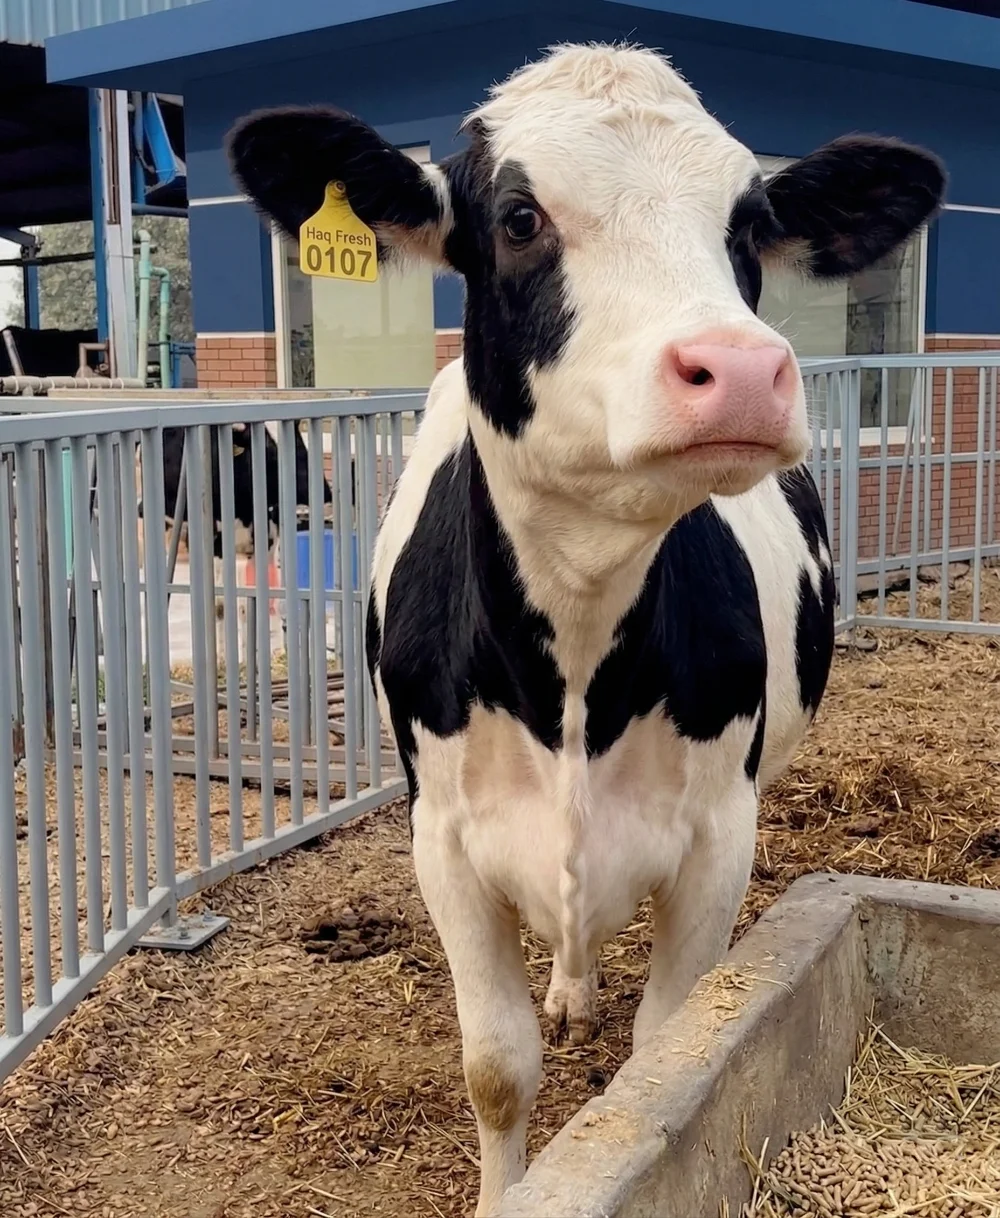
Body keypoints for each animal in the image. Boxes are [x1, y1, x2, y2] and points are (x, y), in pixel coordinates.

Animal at [228, 43, 946, 1215]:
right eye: (519, 218)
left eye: (748, 223)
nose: (739, 370)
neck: (570, 657)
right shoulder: (444, 841)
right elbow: (495, 1066)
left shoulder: (718, 834)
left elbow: (668, 1049)